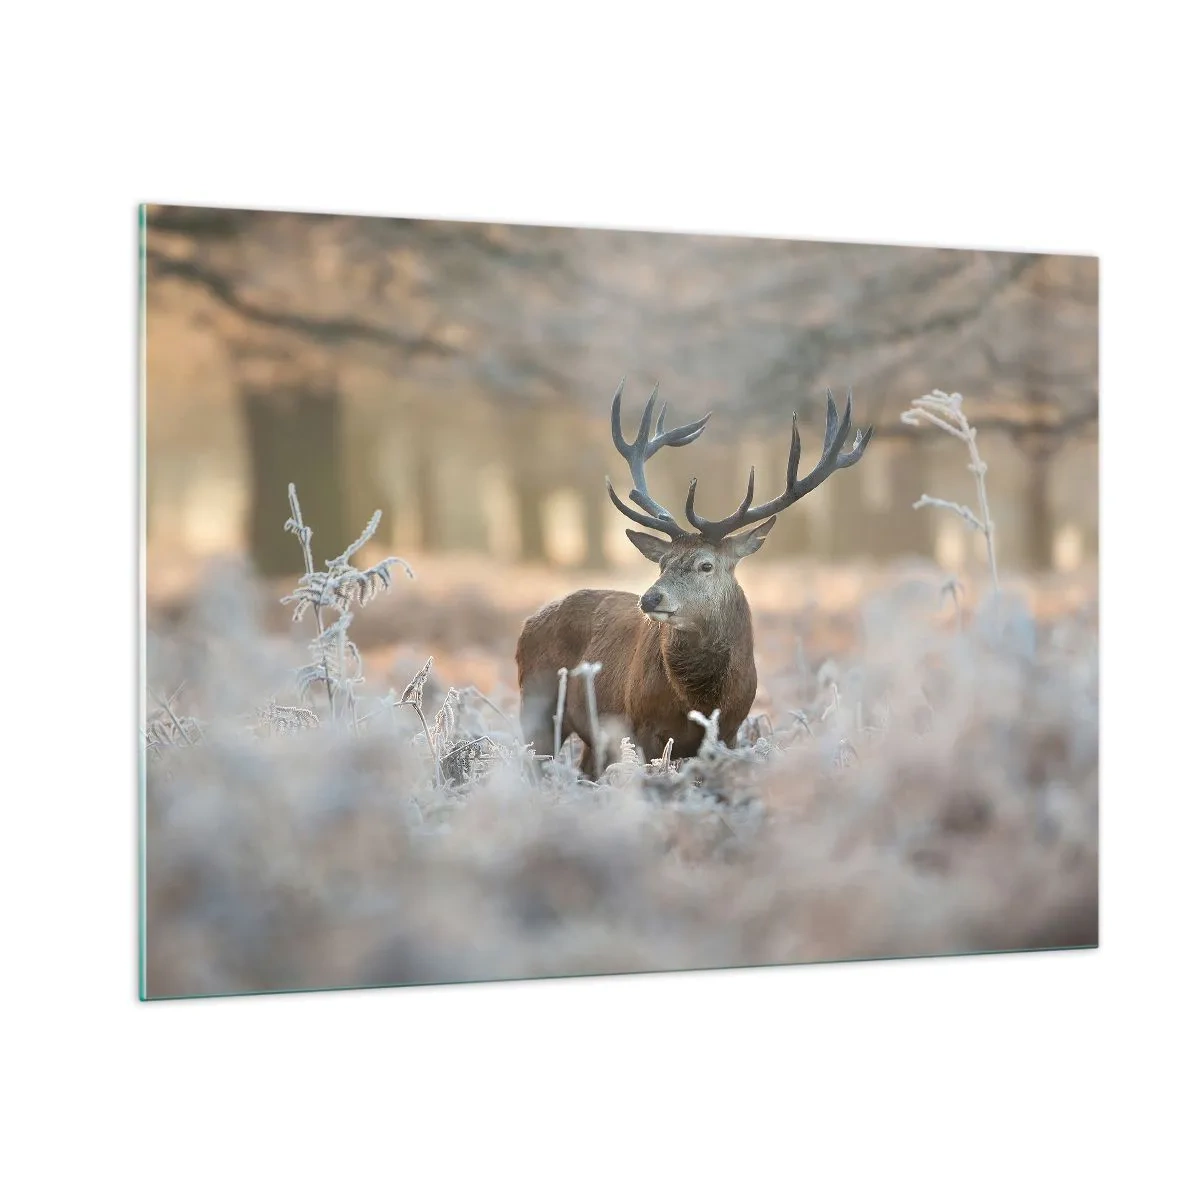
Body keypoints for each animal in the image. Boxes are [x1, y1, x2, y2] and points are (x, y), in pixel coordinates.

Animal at [516, 380, 873, 779]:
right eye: (662, 563)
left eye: (706, 565)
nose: (650, 599)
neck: (699, 700)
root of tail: (528, 623)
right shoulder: (641, 727)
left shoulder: (730, 731)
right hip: (536, 703)